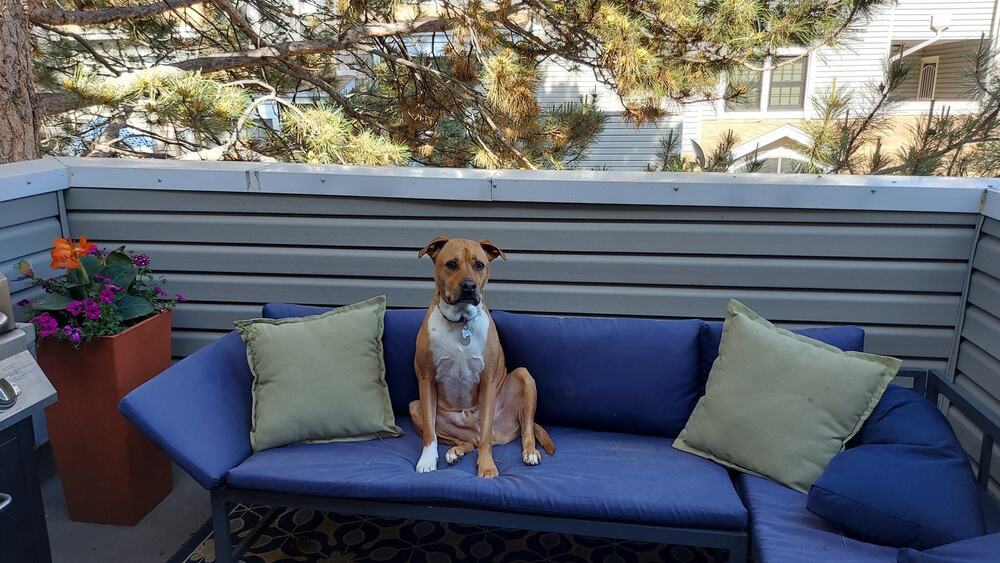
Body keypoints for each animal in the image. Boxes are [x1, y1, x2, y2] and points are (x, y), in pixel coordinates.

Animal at [410, 236, 560, 478]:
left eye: (479, 265)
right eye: (451, 264)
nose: (469, 286)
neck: (460, 322)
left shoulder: (488, 381)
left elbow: (487, 434)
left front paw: (487, 466)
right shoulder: (426, 379)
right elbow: (429, 434)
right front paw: (427, 460)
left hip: (524, 377)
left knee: (523, 429)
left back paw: (530, 452)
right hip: (415, 407)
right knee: (467, 442)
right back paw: (456, 451)